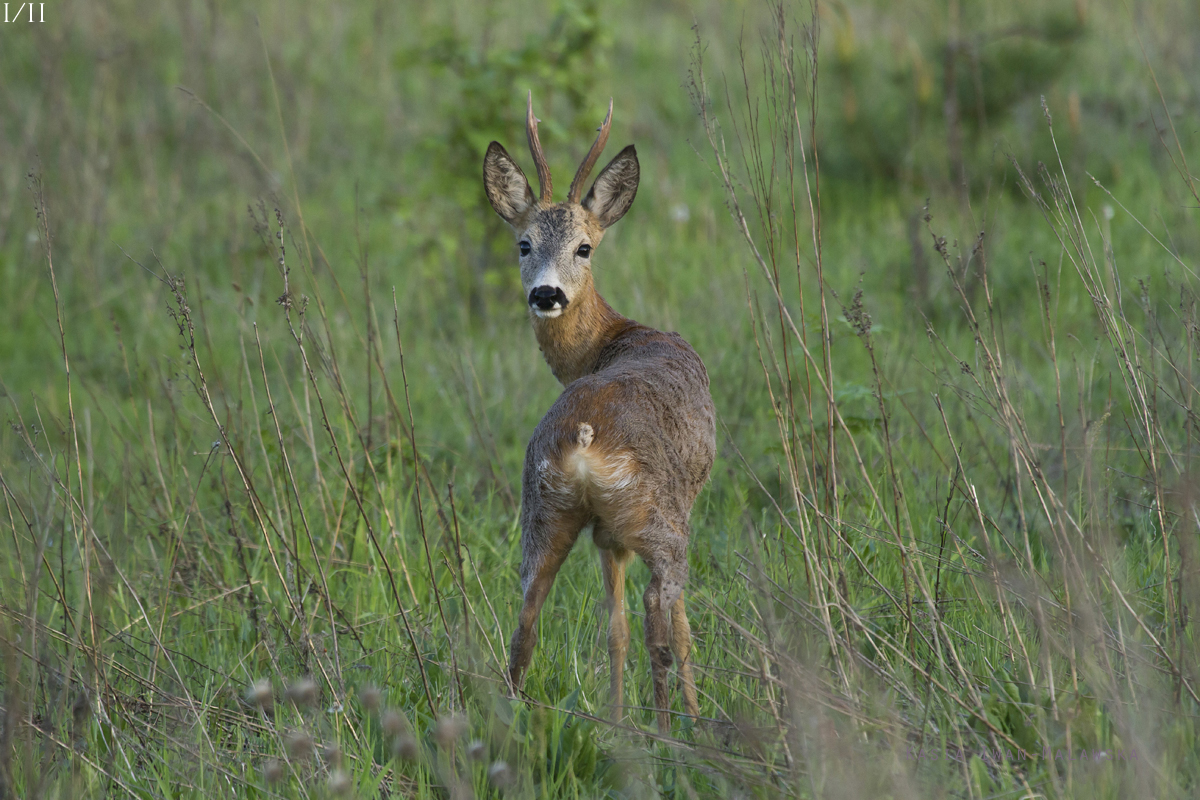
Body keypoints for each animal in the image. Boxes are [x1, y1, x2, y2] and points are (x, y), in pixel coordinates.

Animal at [482, 94, 715, 734]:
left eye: (583, 247)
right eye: (524, 243)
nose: (546, 294)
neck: (615, 337)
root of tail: (583, 438)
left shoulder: (604, 536)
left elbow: (614, 632)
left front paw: (614, 721)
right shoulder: (673, 511)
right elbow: (677, 629)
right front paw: (687, 715)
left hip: (544, 513)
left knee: (525, 625)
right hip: (656, 520)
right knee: (662, 614)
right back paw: (671, 731)